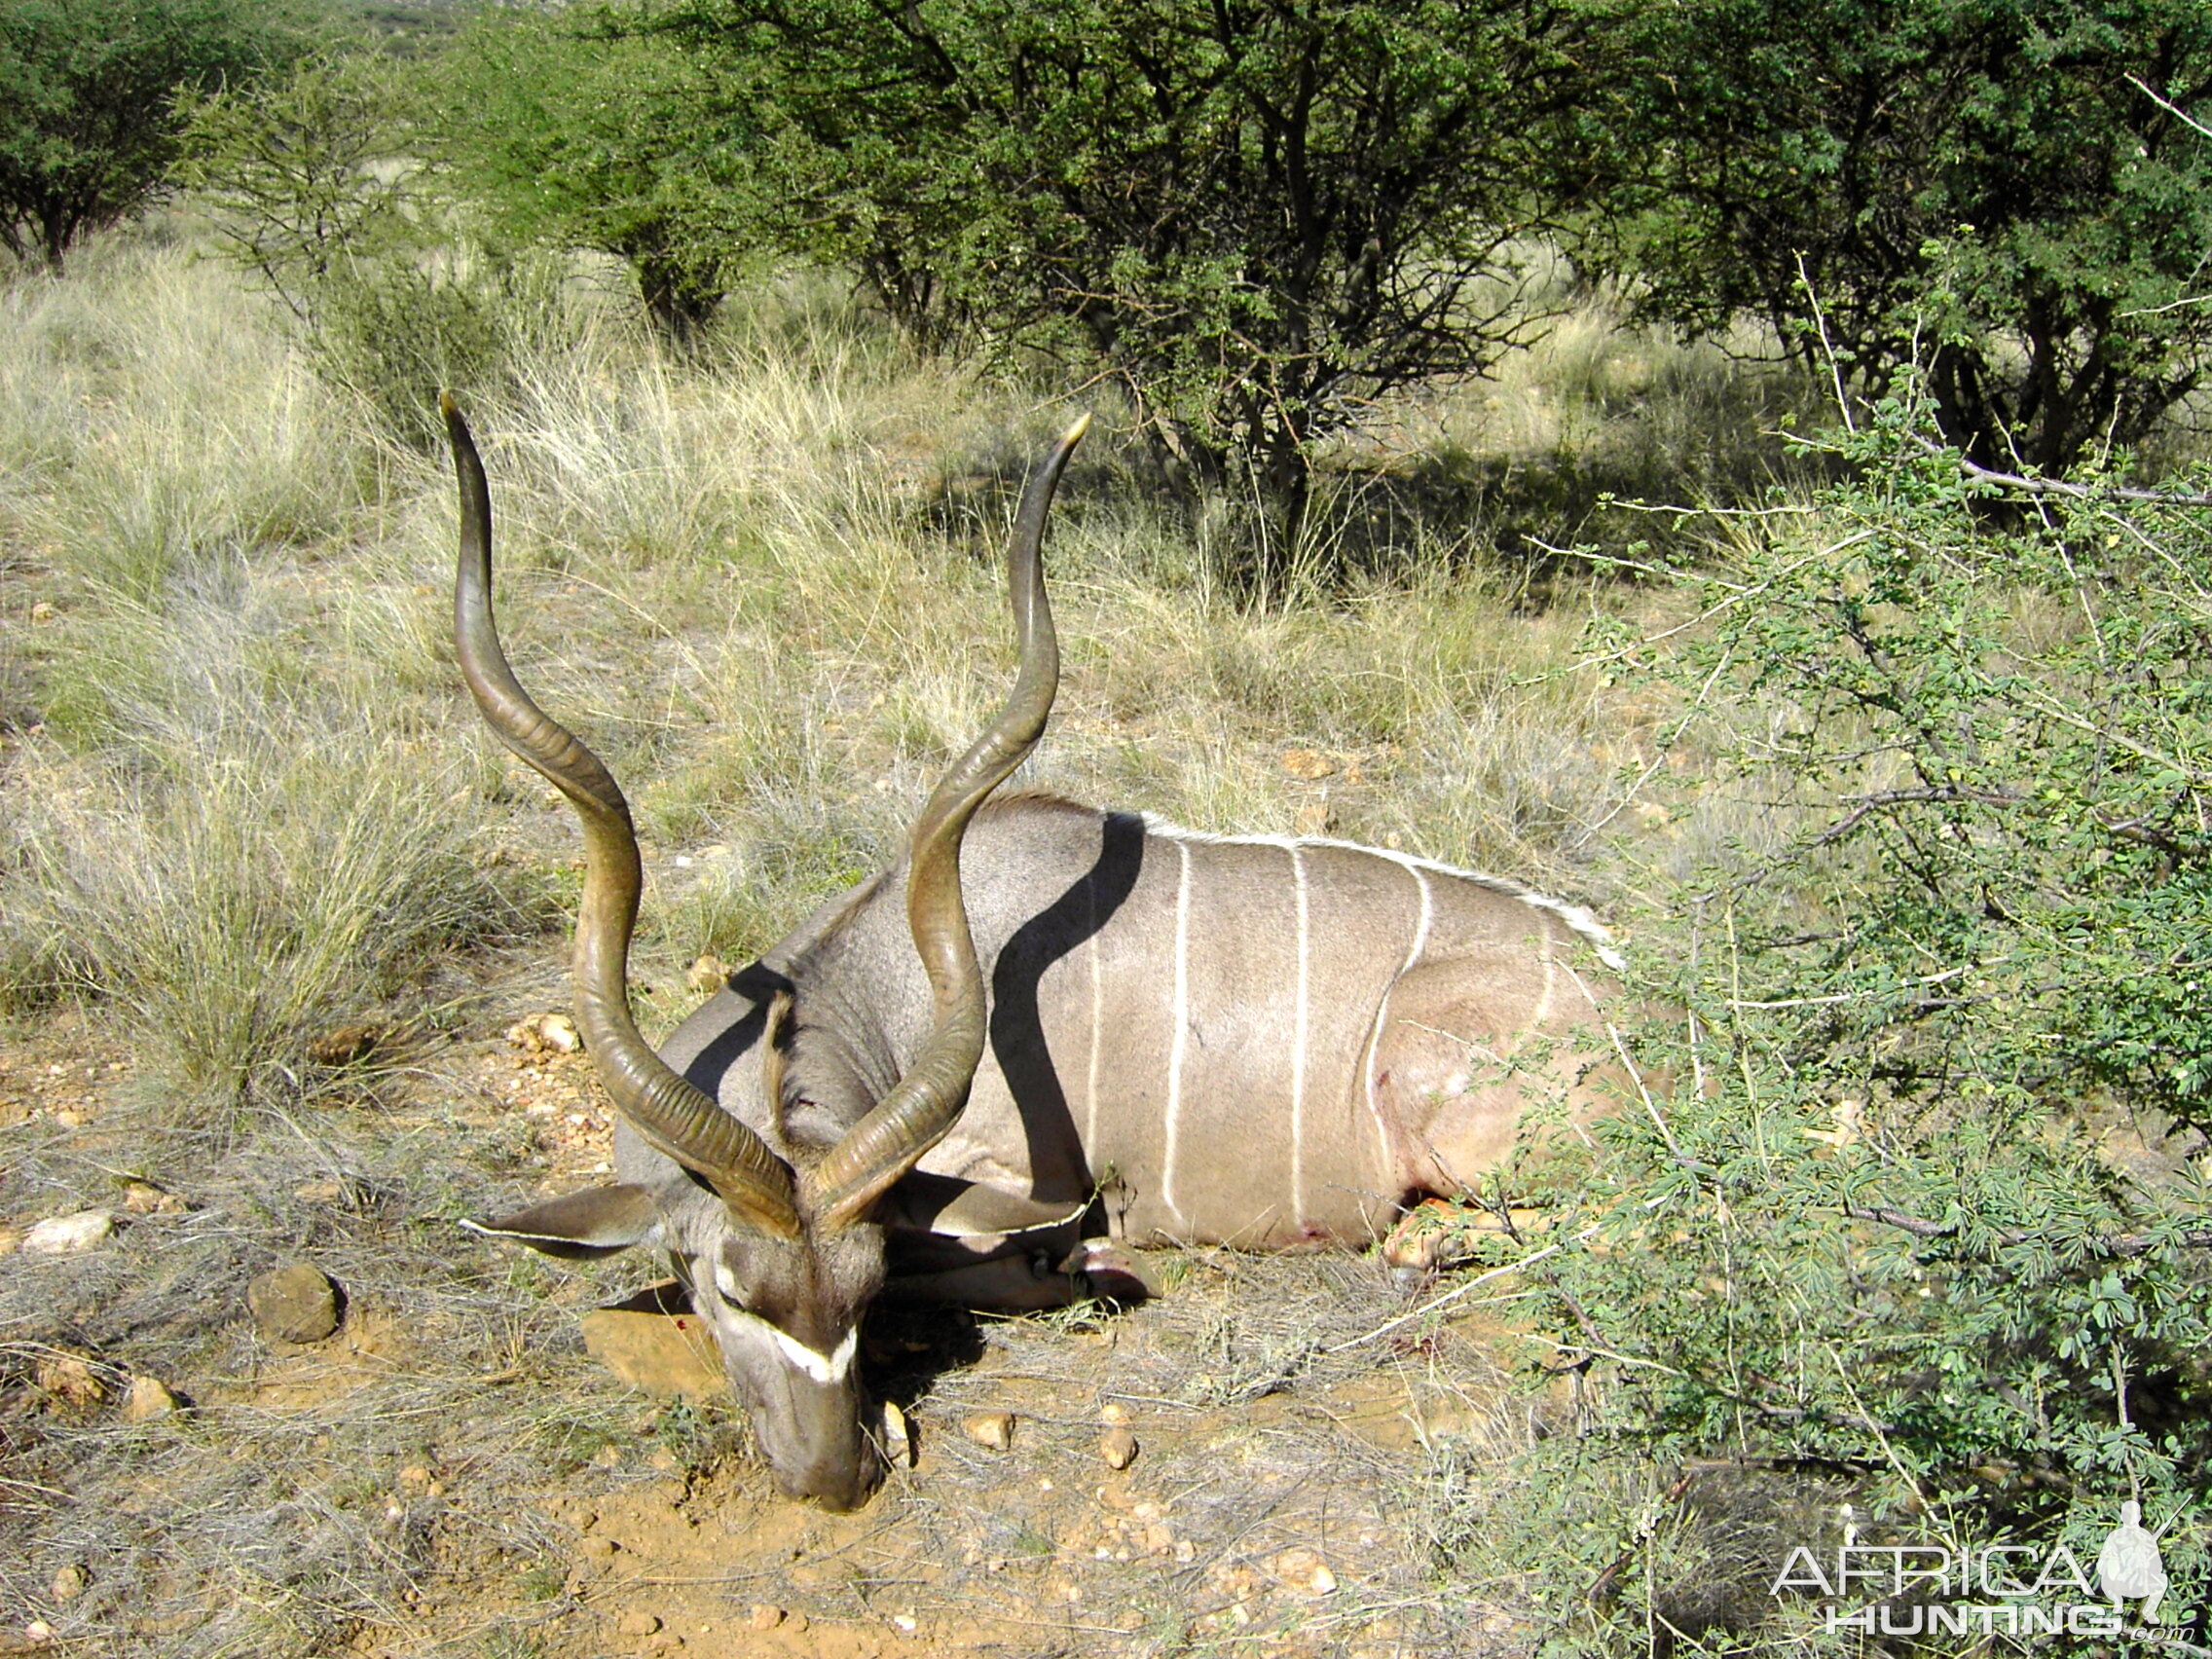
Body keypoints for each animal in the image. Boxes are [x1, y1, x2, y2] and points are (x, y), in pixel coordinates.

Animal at [449, 395, 1628, 1513]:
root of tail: (1640, 999)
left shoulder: (1018, 1180)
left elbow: (1004, 1253)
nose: (833, 1477)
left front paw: (1077, 1265)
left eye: (858, 1292)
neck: (883, 991)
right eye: (731, 1293)